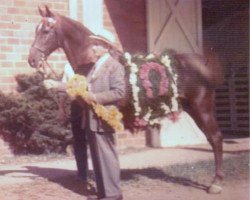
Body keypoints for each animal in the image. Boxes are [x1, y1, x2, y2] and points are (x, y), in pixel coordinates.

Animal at [27, 6, 225, 194]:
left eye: (46, 30)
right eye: (36, 29)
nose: (32, 60)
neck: (92, 61)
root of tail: (201, 65)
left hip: (202, 109)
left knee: (215, 138)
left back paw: (216, 183)